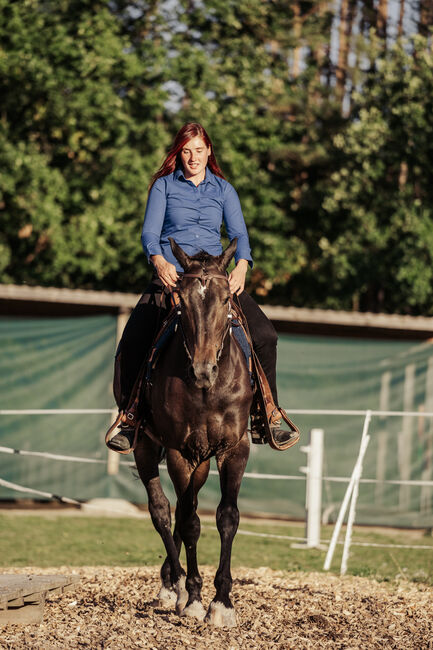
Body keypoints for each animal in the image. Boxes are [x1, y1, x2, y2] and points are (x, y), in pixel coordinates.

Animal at [133, 235, 251, 624]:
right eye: (181, 303)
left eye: (227, 298)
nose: (203, 370)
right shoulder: (178, 451)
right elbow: (188, 523)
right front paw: (195, 597)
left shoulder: (234, 449)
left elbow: (227, 517)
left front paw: (223, 602)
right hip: (146, 448)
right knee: (162, 510)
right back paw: (175, 587)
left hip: (201, 461)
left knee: (188, 505)